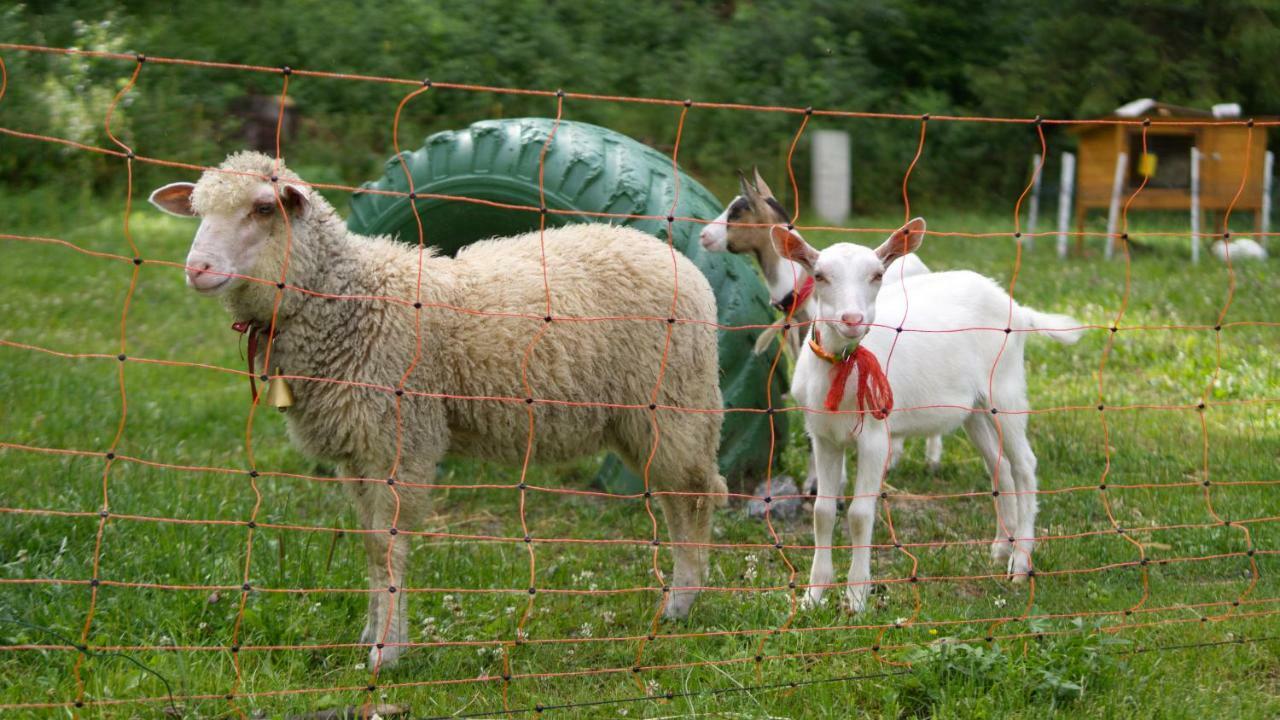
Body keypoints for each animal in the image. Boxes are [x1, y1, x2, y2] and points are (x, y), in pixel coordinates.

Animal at [762, 220, 1085, 609]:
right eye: (820, 275)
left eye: (877, 274)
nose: (852, 319)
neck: (845, 368)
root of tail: (1018, 309)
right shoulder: (824, 437)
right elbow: (822, 513)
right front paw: (813, 596)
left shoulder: (875, 436)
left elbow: (859, 514)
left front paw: (856, 598)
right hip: (974, 409)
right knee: (1001, 465)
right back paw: (999, 549)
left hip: (1005, 391)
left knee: (1024, 464)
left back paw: (1020, 564)